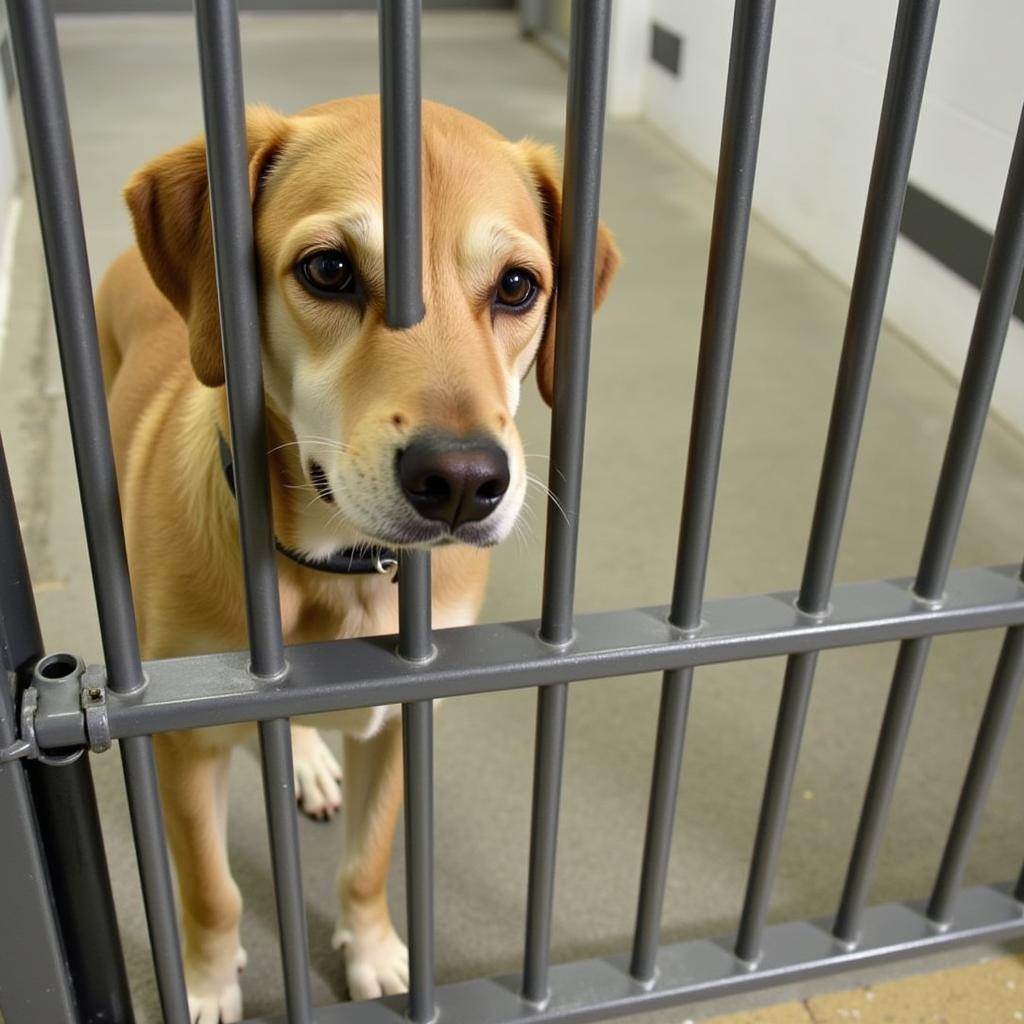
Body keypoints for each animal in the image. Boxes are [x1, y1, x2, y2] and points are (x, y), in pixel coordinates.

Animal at [97, 97, 614, 1024]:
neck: (334, 577)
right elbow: (210, 891)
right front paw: (205, 984)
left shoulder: (408, 715)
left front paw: (373, 953)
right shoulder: (183, 747)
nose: (463, 482)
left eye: (518, 286)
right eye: (330, 269)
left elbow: (370, 865)